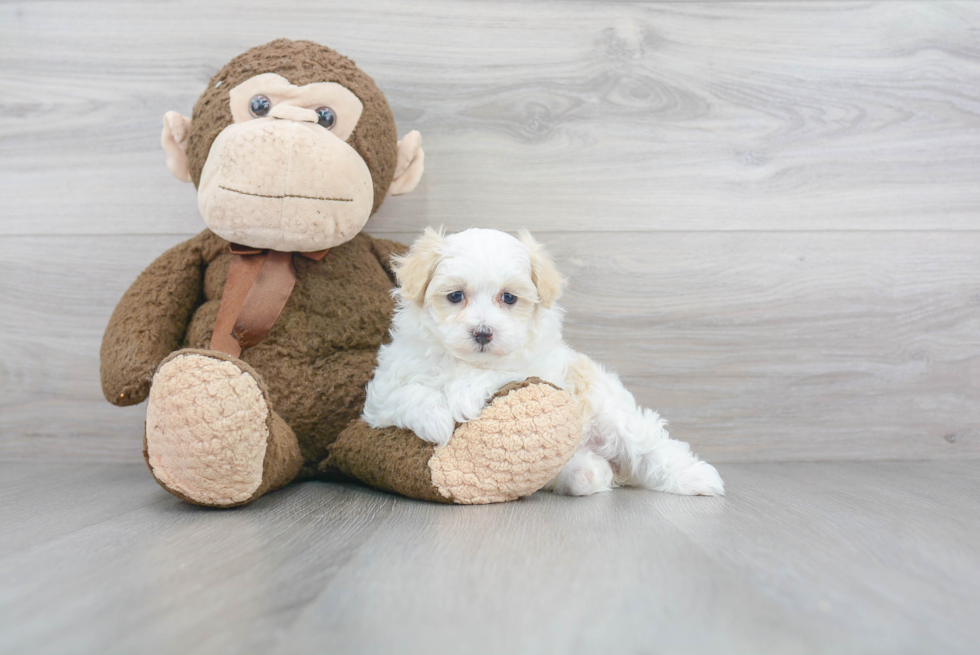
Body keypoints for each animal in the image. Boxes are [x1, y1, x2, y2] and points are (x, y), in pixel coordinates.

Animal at [364, 229, 724, 498]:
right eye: (455, 296)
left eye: (509, 298)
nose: (483, 332)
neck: (466, 361)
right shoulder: (383, 391)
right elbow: (406, 394)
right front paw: (436, 419)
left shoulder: (539, 369)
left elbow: (503, 373)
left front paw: (464, 394)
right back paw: (590, 473)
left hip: (609, 412)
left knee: (650, 448)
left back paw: (698, 478)